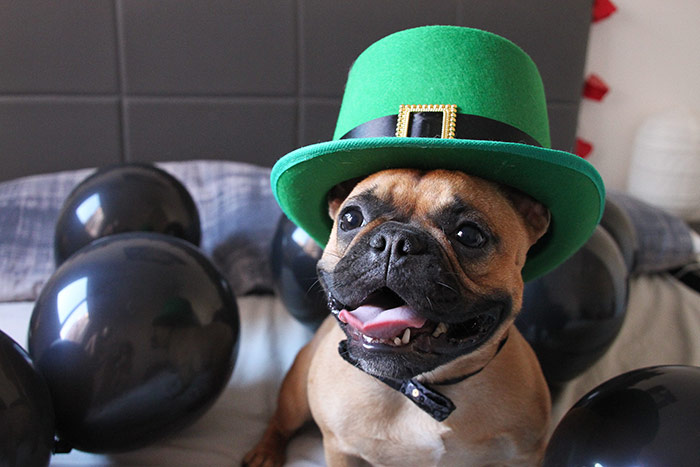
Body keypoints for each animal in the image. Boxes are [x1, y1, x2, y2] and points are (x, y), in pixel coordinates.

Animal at [245, 169, 552, 467]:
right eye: (350, 218)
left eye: (469, 235)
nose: (394, 240)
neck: (416, 389)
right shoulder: (339, 447)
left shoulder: (523, 457)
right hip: (296, 394)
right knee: (280, 422)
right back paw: (265, 453)